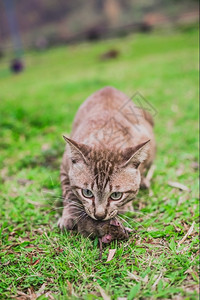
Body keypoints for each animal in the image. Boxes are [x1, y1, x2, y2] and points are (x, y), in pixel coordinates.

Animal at [57, 86, 156, 232]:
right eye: (87, 193)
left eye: (116, 195)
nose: (99, 216)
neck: (105, 138)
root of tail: (108, 88)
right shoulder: (65, 167)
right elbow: (69, 192)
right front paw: (69, 215)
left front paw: (125, 206)